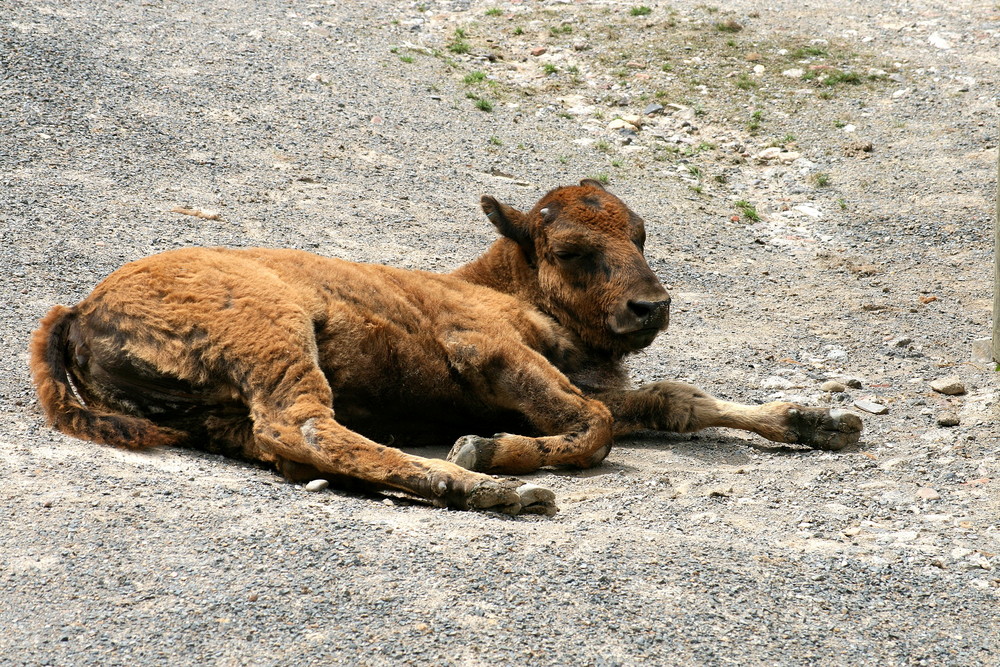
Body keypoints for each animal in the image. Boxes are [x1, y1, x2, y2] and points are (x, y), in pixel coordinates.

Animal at [29, 181, 860, 516]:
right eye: (572, 249)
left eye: (641, 234)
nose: (650, 306)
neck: (502, 279)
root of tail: (81, 307)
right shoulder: (490, 353)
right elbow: (596, 427)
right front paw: (486, 447)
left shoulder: (586, 382)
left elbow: (672, 400)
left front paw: (823, 422)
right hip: (279, 336)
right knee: (306, 425)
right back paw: (497, 488)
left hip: (218, 409)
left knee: (298, 449)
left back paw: (476, 489)